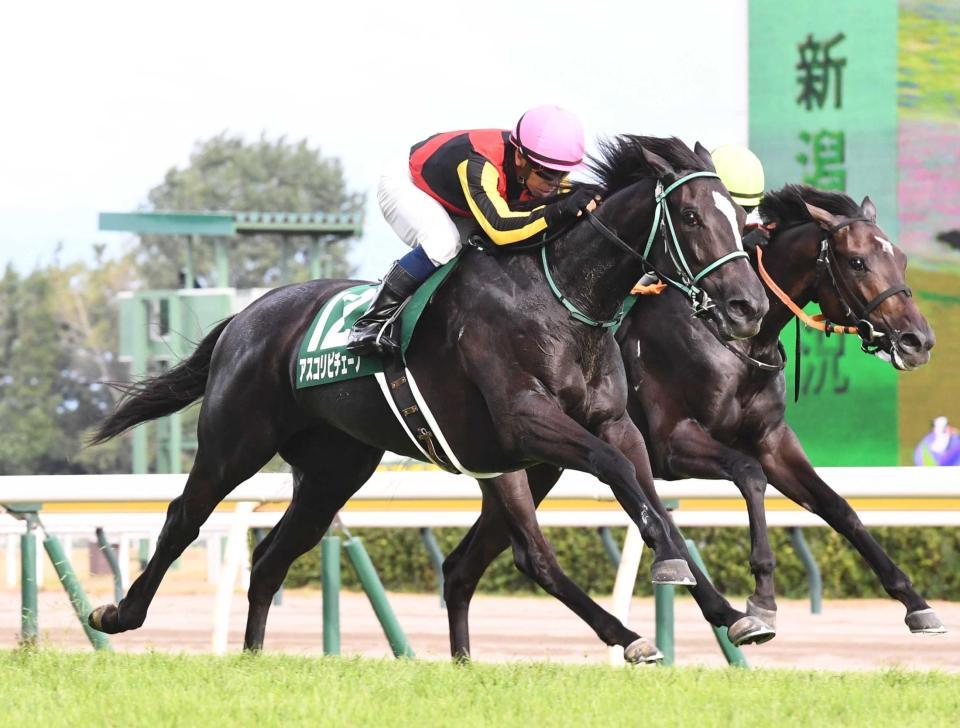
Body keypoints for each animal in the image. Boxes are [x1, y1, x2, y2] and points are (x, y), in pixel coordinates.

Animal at [86, 138, 768, 664]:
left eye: (741, 220)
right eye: (690, 215)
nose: (749, 307)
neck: (562, 297)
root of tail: (243, 317)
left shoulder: (610, 423)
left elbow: (650, 496)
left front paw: (733, 609)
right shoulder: (528, 423)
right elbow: (621, 474)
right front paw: (677, 576)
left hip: (336, 471)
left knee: (274, 556)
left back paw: (254, 656)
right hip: (237, 441)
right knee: (185, 517)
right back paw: (118, 615)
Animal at [436, 185, 944, 664]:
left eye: (900, 258)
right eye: (857, 262)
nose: (918, 340)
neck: (737, 342)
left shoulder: (773, 441)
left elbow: (838, 507)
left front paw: (917, 604)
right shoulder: (674, 444)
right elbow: (748, 474)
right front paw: (761, 598)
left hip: (538, 465)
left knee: (464, 566)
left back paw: (464, 659)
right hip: (517, 462)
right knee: (523, 554)